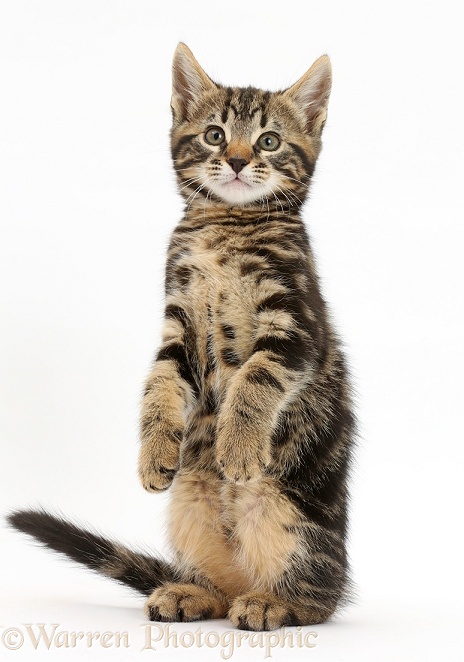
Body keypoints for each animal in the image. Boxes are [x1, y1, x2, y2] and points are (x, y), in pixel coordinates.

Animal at [7, 41, 356, 632]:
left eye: (269, 141)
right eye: (215, 134)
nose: (237, 160)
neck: (224, 226)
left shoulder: (295, 324)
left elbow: (256, 377)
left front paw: (237, 446)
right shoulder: (178, 323)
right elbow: (159, 384)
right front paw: (153, 452)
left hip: (289, 513)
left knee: (319, 594)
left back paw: (274, 602)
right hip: (189, 506)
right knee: (218, 585)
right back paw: (192, 592)